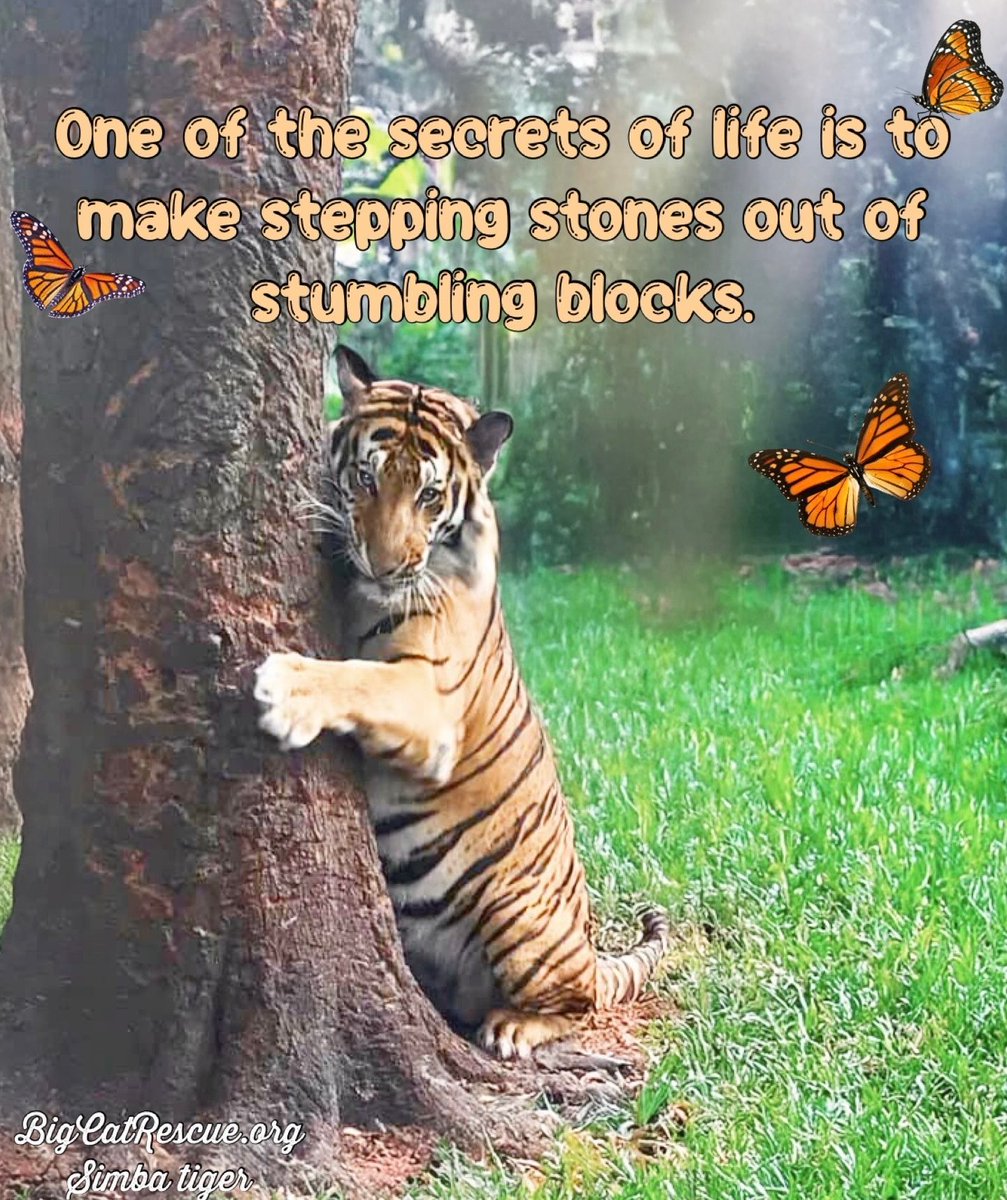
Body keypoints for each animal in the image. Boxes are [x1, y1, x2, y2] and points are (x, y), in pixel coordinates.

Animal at [254, 346, 669, 1059]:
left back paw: (512, 1028)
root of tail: (591, 952)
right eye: (364, 478)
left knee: (576, 1002)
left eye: (428, 494)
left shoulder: (431, 700)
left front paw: (284, 688)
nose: (386, 566)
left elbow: (359, 677)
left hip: (519, 912)